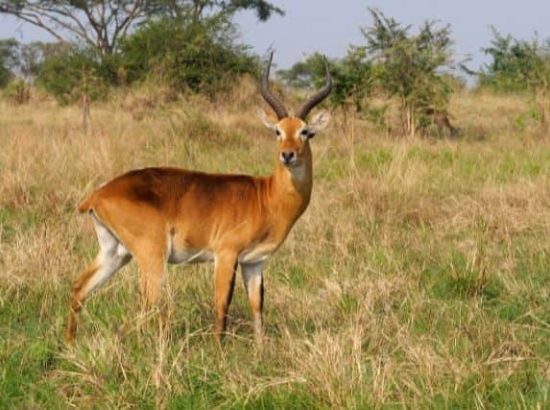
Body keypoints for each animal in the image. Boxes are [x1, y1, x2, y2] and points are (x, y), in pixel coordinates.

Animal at [64, 52, 332, 344]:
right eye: (278, 131)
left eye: (306, 131)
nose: (288, 154)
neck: (266, 196)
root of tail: (98, 194)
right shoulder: (226, 254)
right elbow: (222, 305)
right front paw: (219, 350)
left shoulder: (254, 262)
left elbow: (257, 306)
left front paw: (260, 348)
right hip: (152, 256)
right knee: (145, 305)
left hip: (115, 253)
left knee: (79, 287)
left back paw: (69, 344)